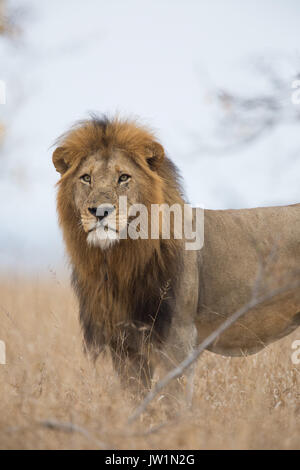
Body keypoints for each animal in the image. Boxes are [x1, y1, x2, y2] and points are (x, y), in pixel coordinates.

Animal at [52, 115, 300, 398]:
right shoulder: (124, 344)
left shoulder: (178, 337)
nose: (100, 211)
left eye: (123, 177)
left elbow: (174, 399)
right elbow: (135, 399)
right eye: (86, 178)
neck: (118, 261)